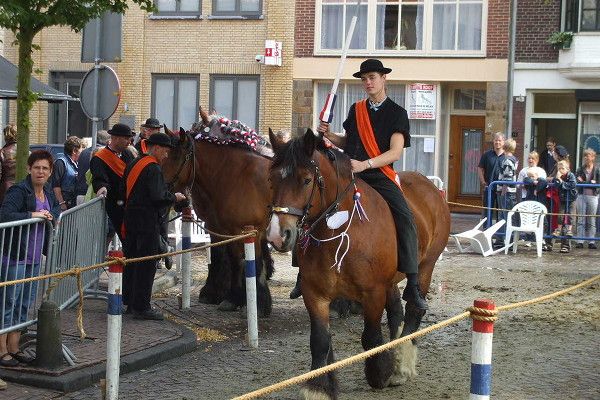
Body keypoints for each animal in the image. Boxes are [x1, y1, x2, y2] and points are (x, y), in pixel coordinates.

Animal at [268, 130, 450, 398]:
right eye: (271, 179)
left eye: (306, 180)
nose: (278, 236)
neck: (340, 230)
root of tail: (429, 186)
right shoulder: (315, 294)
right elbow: (319, 341)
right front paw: (319, 388)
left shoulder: (373, 293)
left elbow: (371, 338)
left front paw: (380, 372)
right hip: (390, 281)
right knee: (396, 311)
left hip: (426, 267)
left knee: (413, 311)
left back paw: (401, 366)